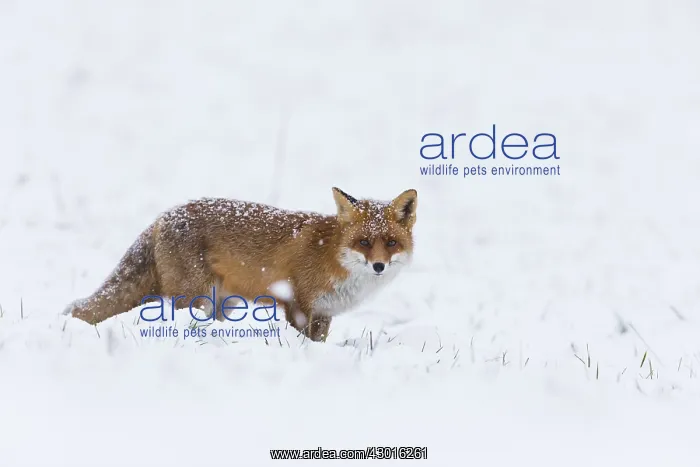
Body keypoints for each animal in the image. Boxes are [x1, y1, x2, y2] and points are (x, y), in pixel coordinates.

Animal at [64, 187, 418, 342]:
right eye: (363, 243)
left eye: (390, 243)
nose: (378, 266)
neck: (331, 255)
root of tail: (162, 217)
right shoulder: (298, 305)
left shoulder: (324, 313)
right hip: (194, 299)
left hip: (223, 304)